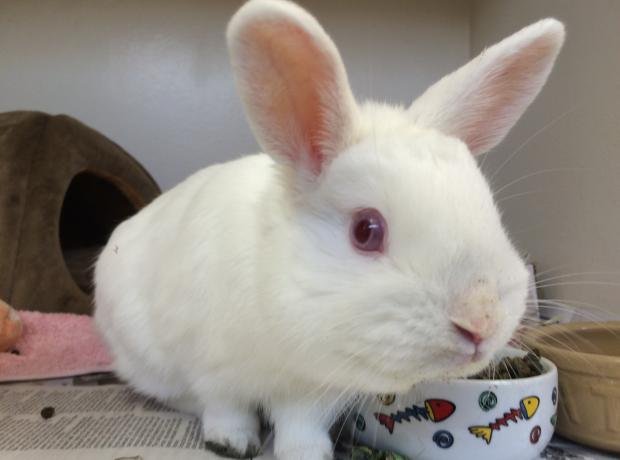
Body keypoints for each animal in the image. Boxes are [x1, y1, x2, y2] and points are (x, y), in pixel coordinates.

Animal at [94, 1, 564, 458]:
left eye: (490, 209)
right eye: (366, 230)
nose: (481, 321)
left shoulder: (314, 392)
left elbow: (300, 425)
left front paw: (306, 453)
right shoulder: (214, 368)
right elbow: (226, 409)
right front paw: (232, 443)